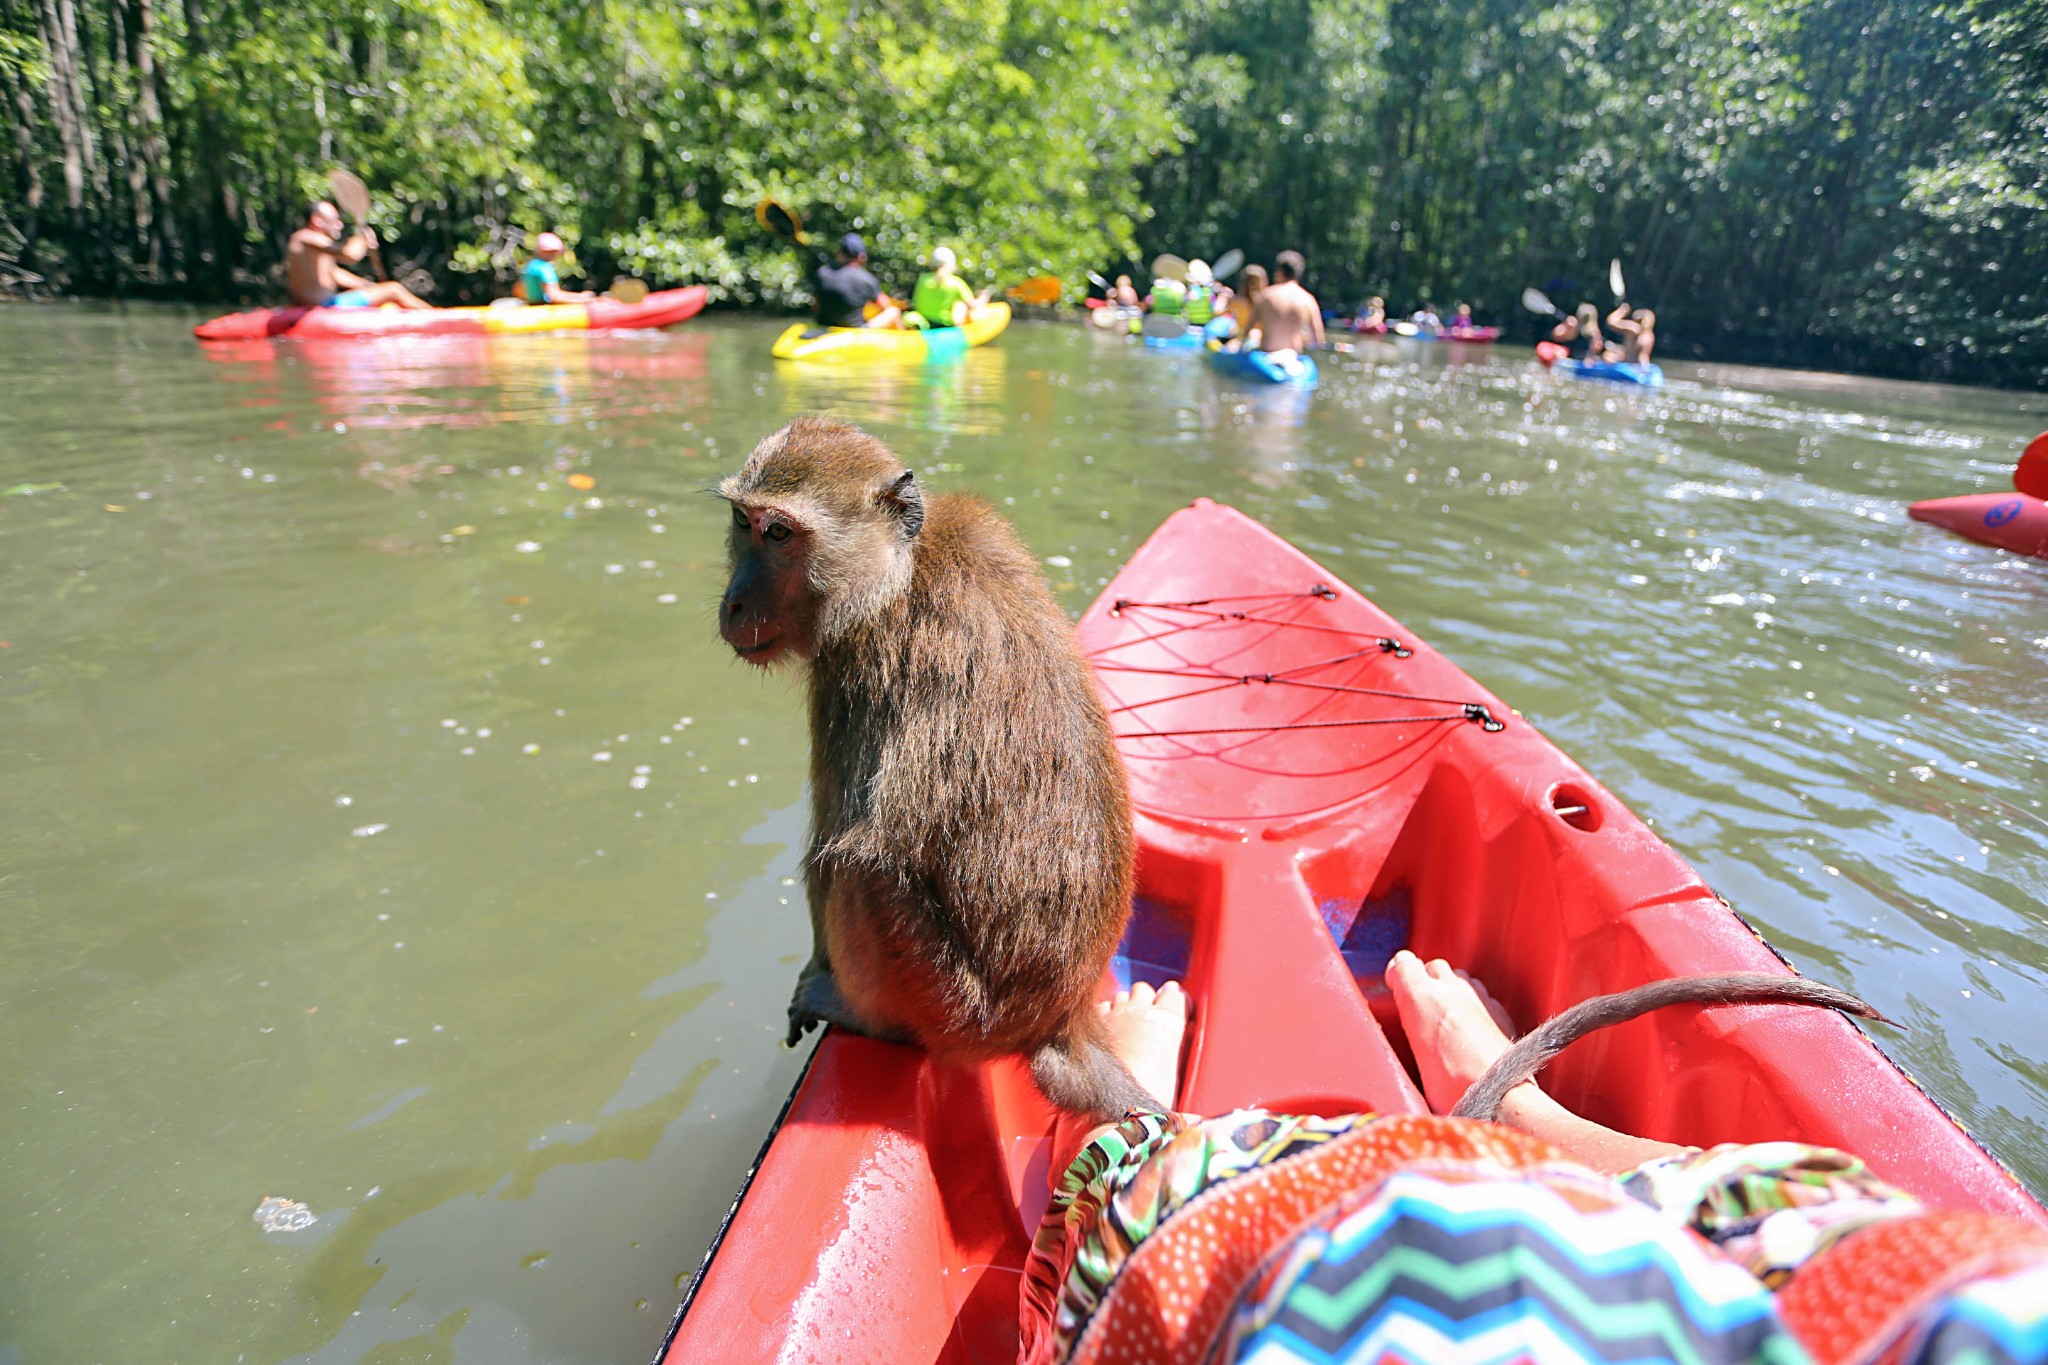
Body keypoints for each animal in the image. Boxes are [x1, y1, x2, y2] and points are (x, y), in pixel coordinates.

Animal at [716, 417, 1163, 1121]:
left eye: (779, 533)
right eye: (743, 521)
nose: (735, 603)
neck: (899, 570)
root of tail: (1060, 1021)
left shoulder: (852, 670)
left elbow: (839, 844)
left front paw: (817, 973)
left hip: (949, 1005)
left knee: (859, 868)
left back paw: (863, 1015)